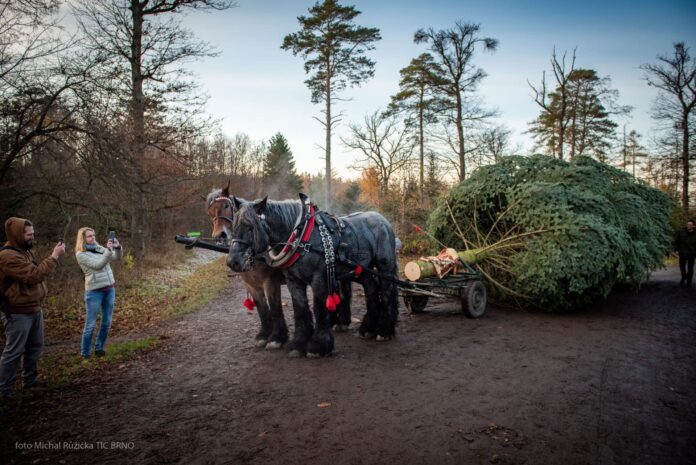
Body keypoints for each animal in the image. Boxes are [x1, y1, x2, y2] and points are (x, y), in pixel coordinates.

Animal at [226, 194, 400, 358]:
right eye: (233, 227)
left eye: (250, 228)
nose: (233, 261)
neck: (300, 238)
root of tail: (382, 219)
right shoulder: (292, 282)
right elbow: (299, 309)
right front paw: (298, 344)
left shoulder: (316, 279)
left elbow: (318, 308)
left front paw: (318, 346)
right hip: (362, 270)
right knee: (371, 289)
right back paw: (368, 327)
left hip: (385, 267)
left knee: (388, 293)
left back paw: (384, 330)